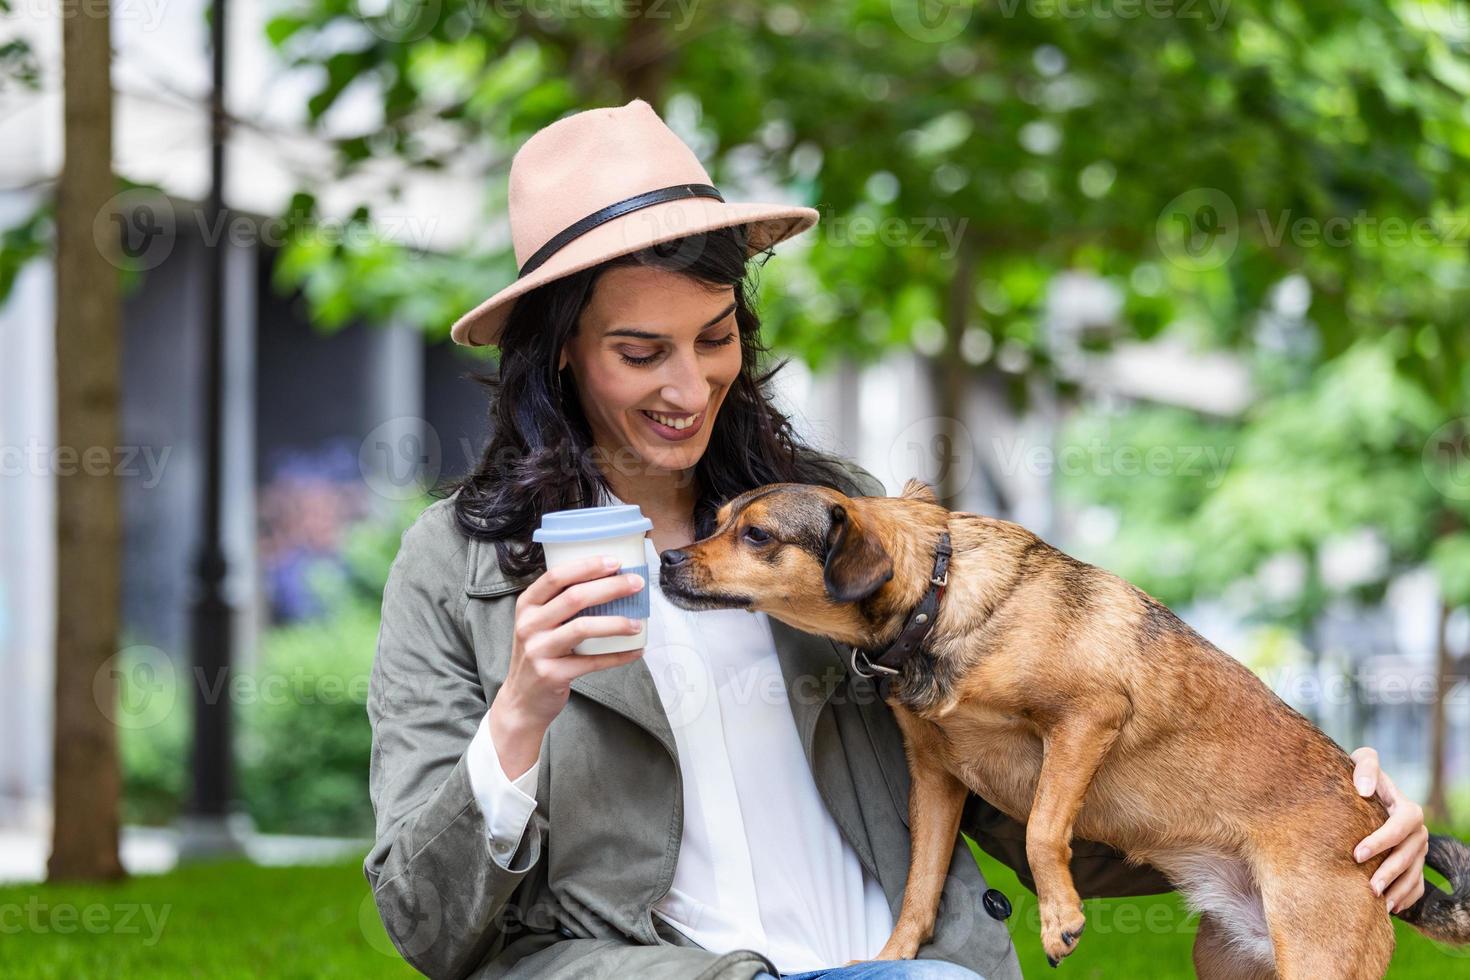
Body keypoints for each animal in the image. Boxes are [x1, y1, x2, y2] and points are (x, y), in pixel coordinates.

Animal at [661, 481, 1470, 980]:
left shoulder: (1086, 719)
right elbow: (919, 887)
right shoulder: (935, 779)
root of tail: (1371, 828)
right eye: (714, 522)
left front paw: (1060, 919)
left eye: (755, 534)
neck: (938, 598)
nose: (665, 558)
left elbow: (1045, 828)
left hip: (1318, 953)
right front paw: (894, 952)